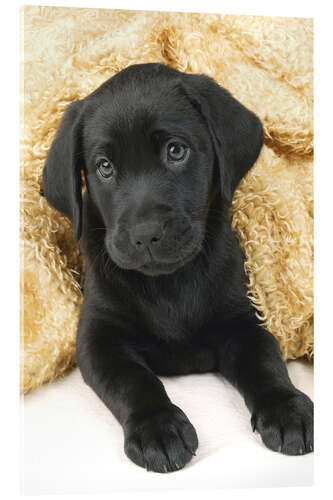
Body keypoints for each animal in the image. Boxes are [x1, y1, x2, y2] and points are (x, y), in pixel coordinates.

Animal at [42, 63, 312, 472]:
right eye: (104, 167)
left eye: (175, 151)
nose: (145, 234)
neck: (169, 284)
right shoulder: (98, 339)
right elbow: (134, 380)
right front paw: (158, 428)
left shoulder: (243, 320)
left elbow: (266, 361)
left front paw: (286, 407)